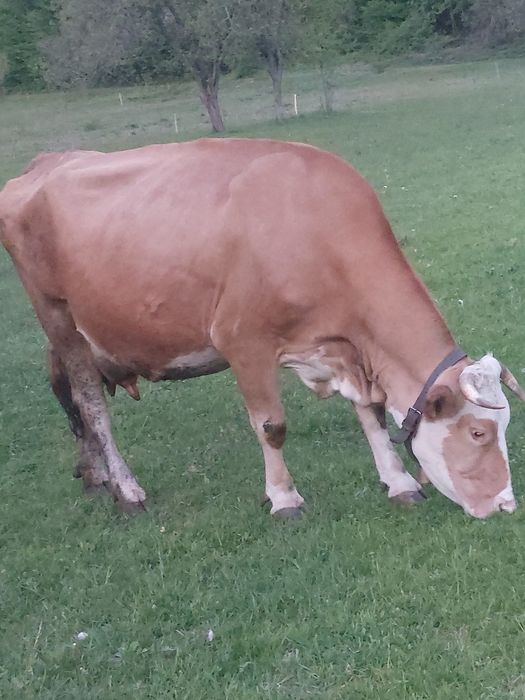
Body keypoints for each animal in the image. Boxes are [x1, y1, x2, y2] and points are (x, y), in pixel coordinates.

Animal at [0, 138, 523, 519]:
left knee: (69, 398)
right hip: (59, 318)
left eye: (504, 426)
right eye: (479, 433)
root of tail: (45, 162)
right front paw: (285, 498)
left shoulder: (347, 349)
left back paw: (95, 475)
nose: (506, 504)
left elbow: (371, 414)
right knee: (91, 405)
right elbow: (272, 426)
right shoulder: (242, 340)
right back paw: (127, 490)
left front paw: (399, 482)